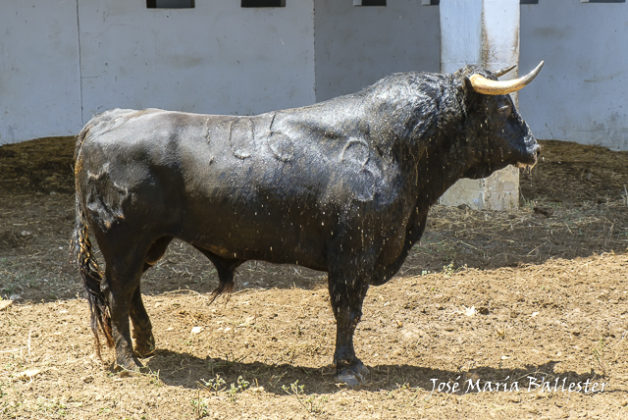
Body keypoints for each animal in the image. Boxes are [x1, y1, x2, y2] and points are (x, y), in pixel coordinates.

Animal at [73, 63, 544, 388]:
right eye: (504, 107)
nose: (535, 148)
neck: (393, 146)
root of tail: (104, 120)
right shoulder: (353, 253)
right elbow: (348, 310)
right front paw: (348, 366)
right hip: (124, 241)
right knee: (117, 291)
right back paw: (128, 360)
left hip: (151, 242)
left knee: (131, 289)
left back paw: (146, 344)